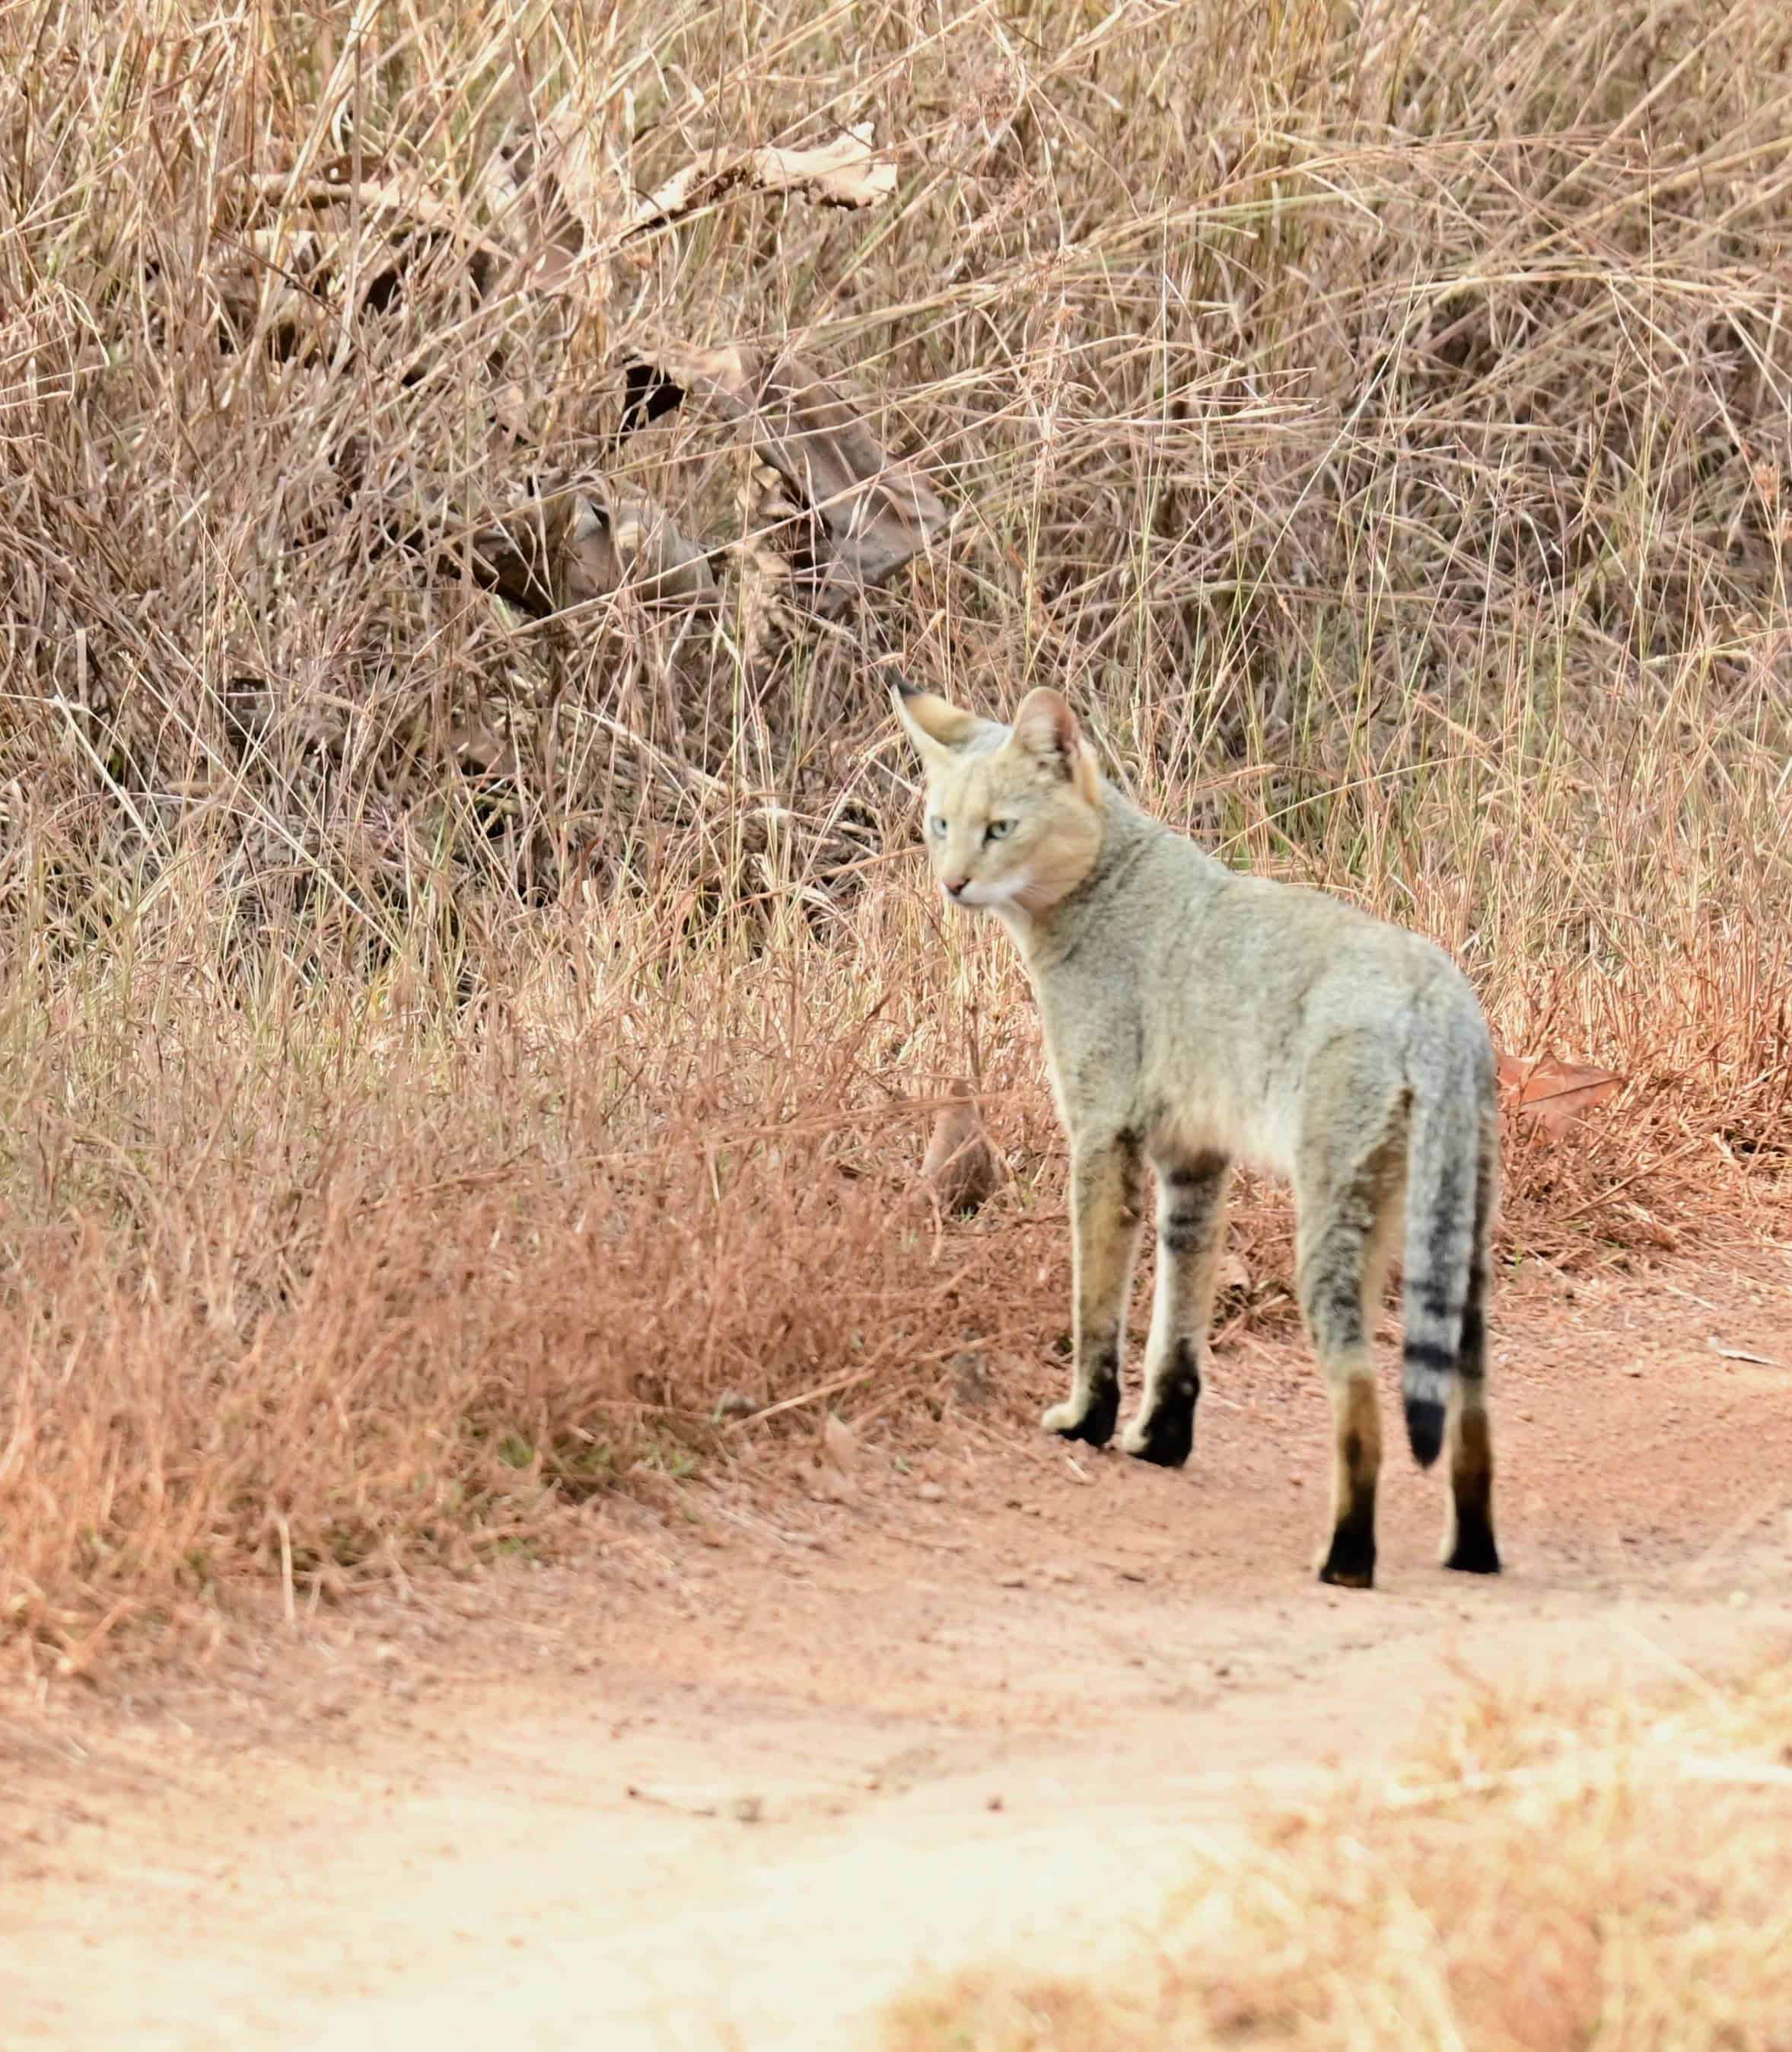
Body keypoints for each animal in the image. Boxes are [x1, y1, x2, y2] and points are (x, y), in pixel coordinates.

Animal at [890, 673, 1492, 1584]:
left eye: (1001, 827)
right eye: (938, 825)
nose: (952, 883)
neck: (1109, 880)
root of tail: (1437, 992)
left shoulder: (1102, 1133)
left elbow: (1097, 1304)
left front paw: (1087, 1420)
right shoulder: (1194, 1163)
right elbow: (1178, 1326)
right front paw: (1159, 1441)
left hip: (1336, 1225)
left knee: (1361, 1397)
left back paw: (1347, 1558)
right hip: (1449, 1238)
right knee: (1470, 1405)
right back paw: (1473, 1553)